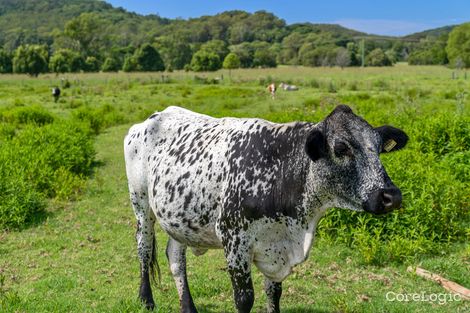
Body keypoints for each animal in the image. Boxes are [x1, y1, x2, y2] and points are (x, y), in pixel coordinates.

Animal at [124, 105, 408, 312]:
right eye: (341, 148)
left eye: (379, 148)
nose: (391, 196)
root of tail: (152, 118)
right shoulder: (234, 241)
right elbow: (244, 299)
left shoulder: (276, 247)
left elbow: (274, 294)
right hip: (141, 204)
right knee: (143, 248)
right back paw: (146, 300)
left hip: (179, 219)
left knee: (175, 257)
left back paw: (188, 307)